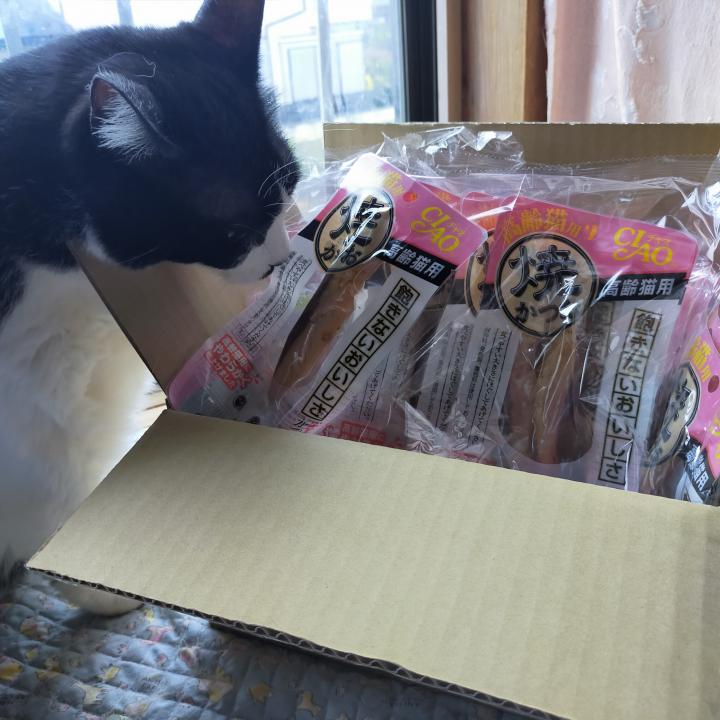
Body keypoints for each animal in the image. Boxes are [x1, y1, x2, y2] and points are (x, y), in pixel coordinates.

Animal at [0, 0, 299, 614]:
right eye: (235, 234)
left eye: (292, 187)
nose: (282, 260)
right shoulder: (28, 415)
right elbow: (58, 495)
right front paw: (97, 591)